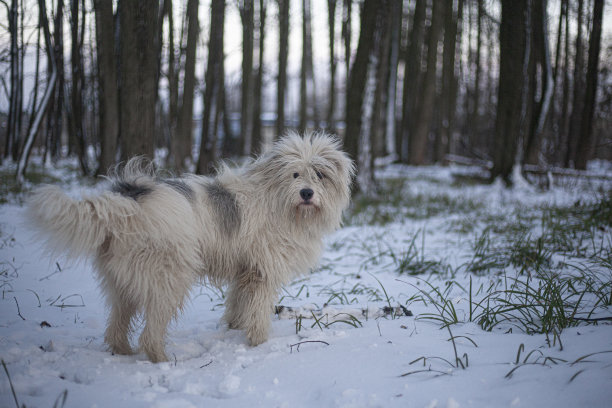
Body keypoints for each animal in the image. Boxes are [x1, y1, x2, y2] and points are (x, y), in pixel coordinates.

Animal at [27, 132, 354, 362]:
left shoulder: (245, 271)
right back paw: (161, 359)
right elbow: (258, 310)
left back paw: (123, 352)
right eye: (295, 174)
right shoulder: (262, 273)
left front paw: (234, 329)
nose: (307, 193)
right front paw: (259, 343)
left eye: (320, 174)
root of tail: (125, 202)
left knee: (117, 323)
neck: (277, 201)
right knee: (151, 331)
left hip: (123, 279)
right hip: (169, 276)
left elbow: (237, 304)